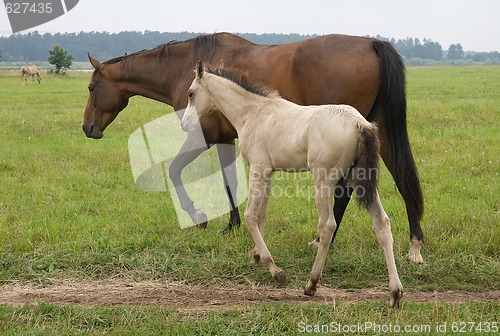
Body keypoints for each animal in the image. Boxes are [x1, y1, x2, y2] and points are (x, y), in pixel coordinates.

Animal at [83, 32, 426, 262]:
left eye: (91, 87)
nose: (87, 128)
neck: (185, 69)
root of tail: (371, 43)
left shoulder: (202, 137)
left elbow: (175, 170)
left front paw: (198, 215)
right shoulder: (225, 139)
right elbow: (230, 182)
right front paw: (233, 225)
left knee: (345, 192)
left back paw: (323, 239)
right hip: (377, 135)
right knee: (401, 178)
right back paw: (414, 244)